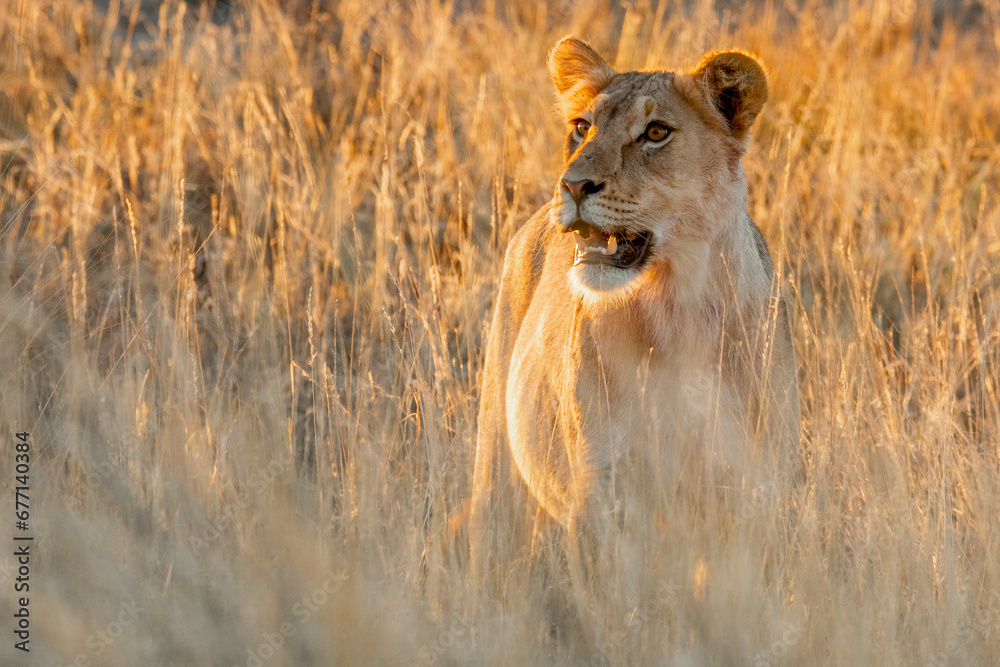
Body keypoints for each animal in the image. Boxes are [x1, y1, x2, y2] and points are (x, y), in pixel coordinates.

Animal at [469, 37, 800, 605]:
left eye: (656, 133)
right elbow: (619, 617)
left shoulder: (751, 494)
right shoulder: (602, 497)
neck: (676, 308)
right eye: (581, 126)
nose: (573, 185)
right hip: (498, 471)